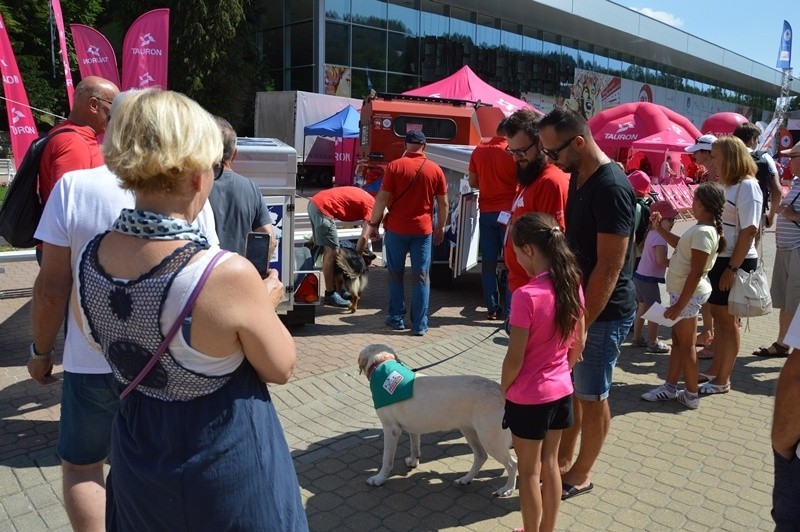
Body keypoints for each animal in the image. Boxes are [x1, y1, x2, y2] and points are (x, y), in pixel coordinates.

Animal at [358, 342, 520, 496]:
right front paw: (413, 462)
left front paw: (379, 479)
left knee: (512, 464)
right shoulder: (413, 428)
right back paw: (466, 479)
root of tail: (501, 391)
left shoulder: (391, 429)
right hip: (470, 431)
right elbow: (414, 447)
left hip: (490, 439)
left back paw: (507, 488)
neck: (383, 367)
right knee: (481, 456)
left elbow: (386, 459)